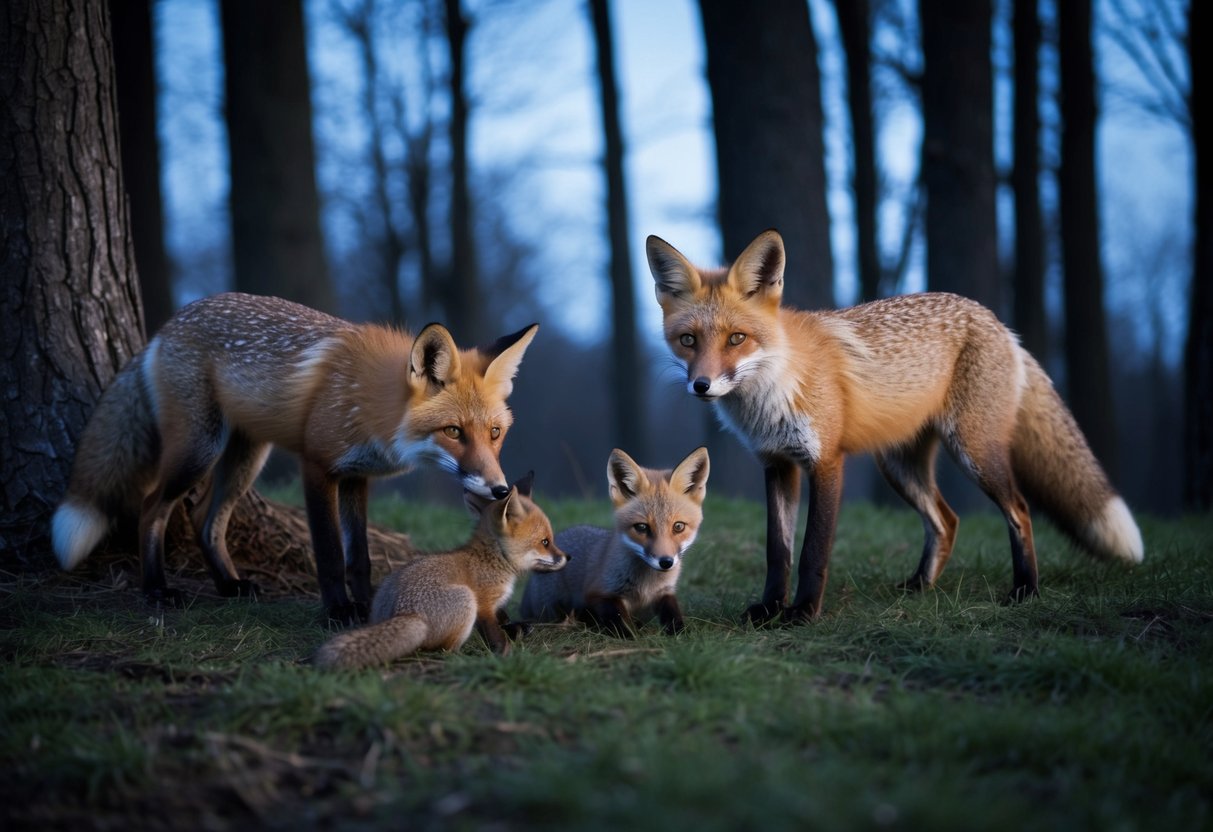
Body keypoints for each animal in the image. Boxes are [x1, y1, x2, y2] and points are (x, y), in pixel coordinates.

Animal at [50, 292, 538, 623]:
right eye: (453, 432)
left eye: (495, 433)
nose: (500, 489)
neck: (371, 407)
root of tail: (166, 328)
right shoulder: (318, 466)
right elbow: (330, 553)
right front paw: (339, 611)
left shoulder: (357, 476)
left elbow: (358, 557)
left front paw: (367, 604)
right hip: (199, 449)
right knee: (153, 507)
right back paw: (156, 589)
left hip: (247, 457)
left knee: (205, 519)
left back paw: (229, 584)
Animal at [313, 472, 567, 668]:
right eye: (545, 542)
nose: (567, 557)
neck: (494, 559)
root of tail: (405, 612)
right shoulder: (484, 604)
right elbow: (493, 633)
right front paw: (504, 652)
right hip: (466, 599)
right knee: (445, 650)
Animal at [519, 446, 710, 637]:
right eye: (642, 527)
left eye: (678, 526)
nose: (666, 562)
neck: (646, 586)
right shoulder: (599, 593)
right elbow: (619, 621)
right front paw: (631, 636)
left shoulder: (665, 592)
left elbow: (674, 616)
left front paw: (681, 634)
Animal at [646, 229, 1144, 625]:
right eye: (688, 340)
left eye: (737, 339)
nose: (701, 385)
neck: (774, 390)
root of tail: (997, 322)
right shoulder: (777, 464)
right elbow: (778, 551)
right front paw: (770, 608)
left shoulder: (826, 462)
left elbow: (812, 552)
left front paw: (802, 612)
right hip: (899, 467)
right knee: (946, 520)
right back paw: (921, 586)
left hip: (974, 452)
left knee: (1019, 510)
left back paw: (1025, 590)